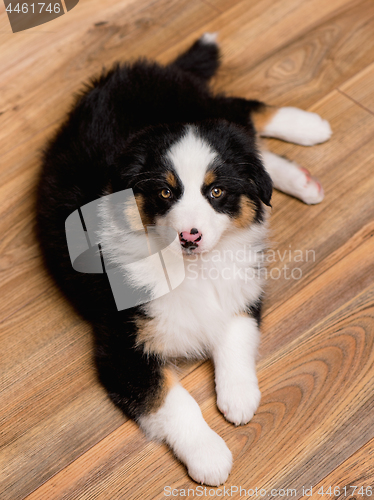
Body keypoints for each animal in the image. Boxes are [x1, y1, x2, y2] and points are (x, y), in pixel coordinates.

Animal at [36, 34, 332, 484]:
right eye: (164, 192)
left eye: (216, 192)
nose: (189, 236)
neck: (192, 268)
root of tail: (130, 70)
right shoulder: (122, 347)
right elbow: (175, 402)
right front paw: (210, 455)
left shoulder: (243, 286)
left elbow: (236, 332)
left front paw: (239, 395)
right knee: (250, 140)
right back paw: (302, 175)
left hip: (208, 111)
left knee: (243, 118)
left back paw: (308, 130)